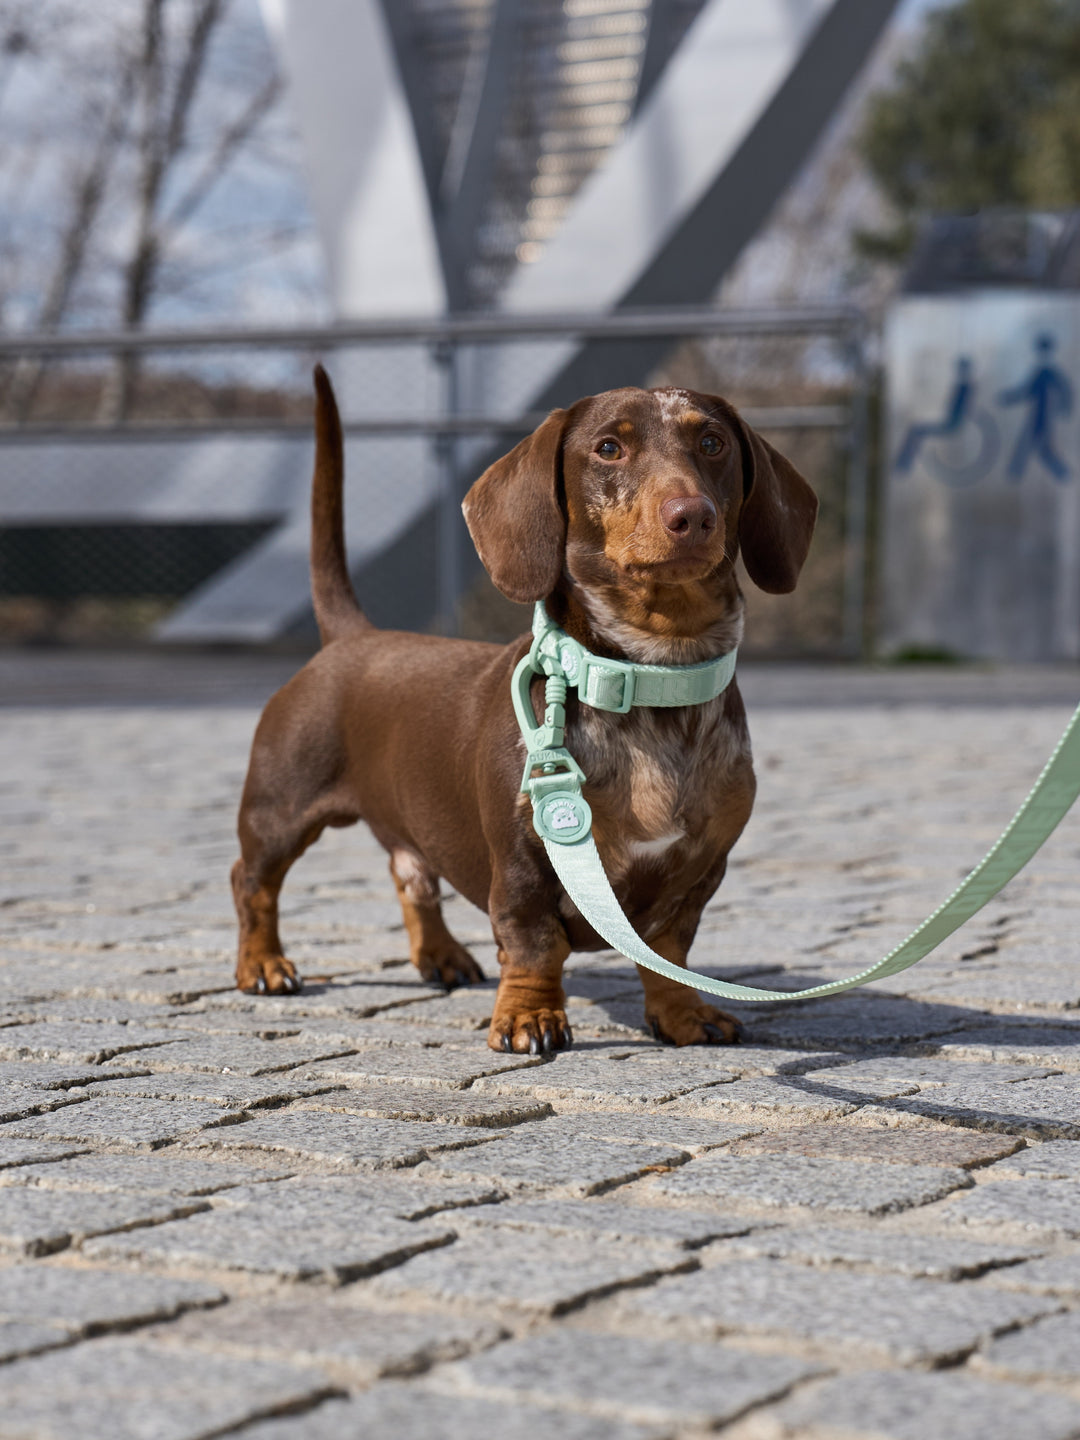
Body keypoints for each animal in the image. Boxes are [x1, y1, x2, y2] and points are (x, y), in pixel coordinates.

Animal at [233, 365, 817, 1054]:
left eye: (712, 444)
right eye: (609, 448)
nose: (692, 516)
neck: (648, 676)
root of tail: (351, 636)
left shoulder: (699, 875)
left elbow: (668, 953)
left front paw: (683, 1013)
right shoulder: (521, 865)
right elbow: (534, 946)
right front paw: (530, 1017)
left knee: (411, 875)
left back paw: (441, 955)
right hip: (278, 811)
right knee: (252, 881)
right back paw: (263, 964)